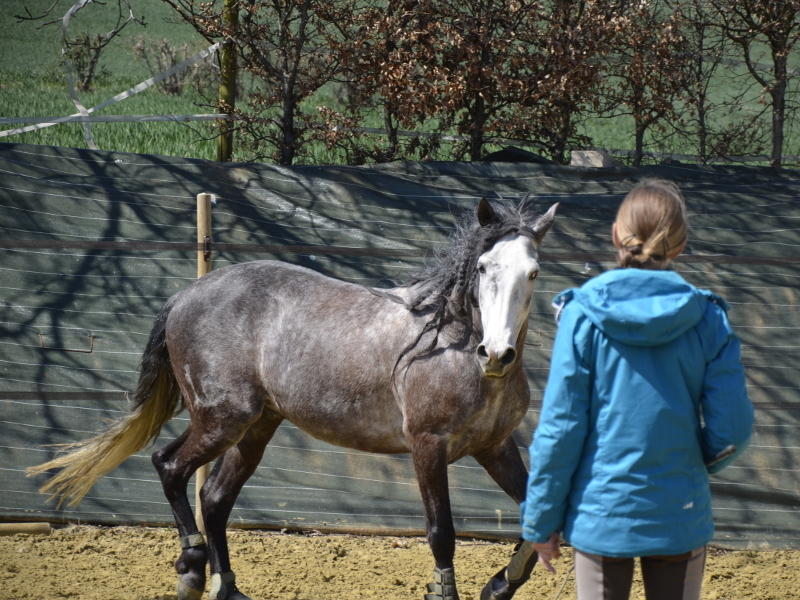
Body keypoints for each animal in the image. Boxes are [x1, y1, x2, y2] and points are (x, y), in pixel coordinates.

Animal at [31, 199, 556, 600]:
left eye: (533, 273)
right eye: (484, 268)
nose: (497, 354)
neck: (450, 343)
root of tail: (186, 294)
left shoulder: (495, 447)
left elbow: (543, 520)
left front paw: (499, 586)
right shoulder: (428, 445)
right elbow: (441, 534)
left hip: (255, 426)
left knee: (213, 497)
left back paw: (227, 588)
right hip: (224, 418)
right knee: (170, 467)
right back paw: (191, 571)